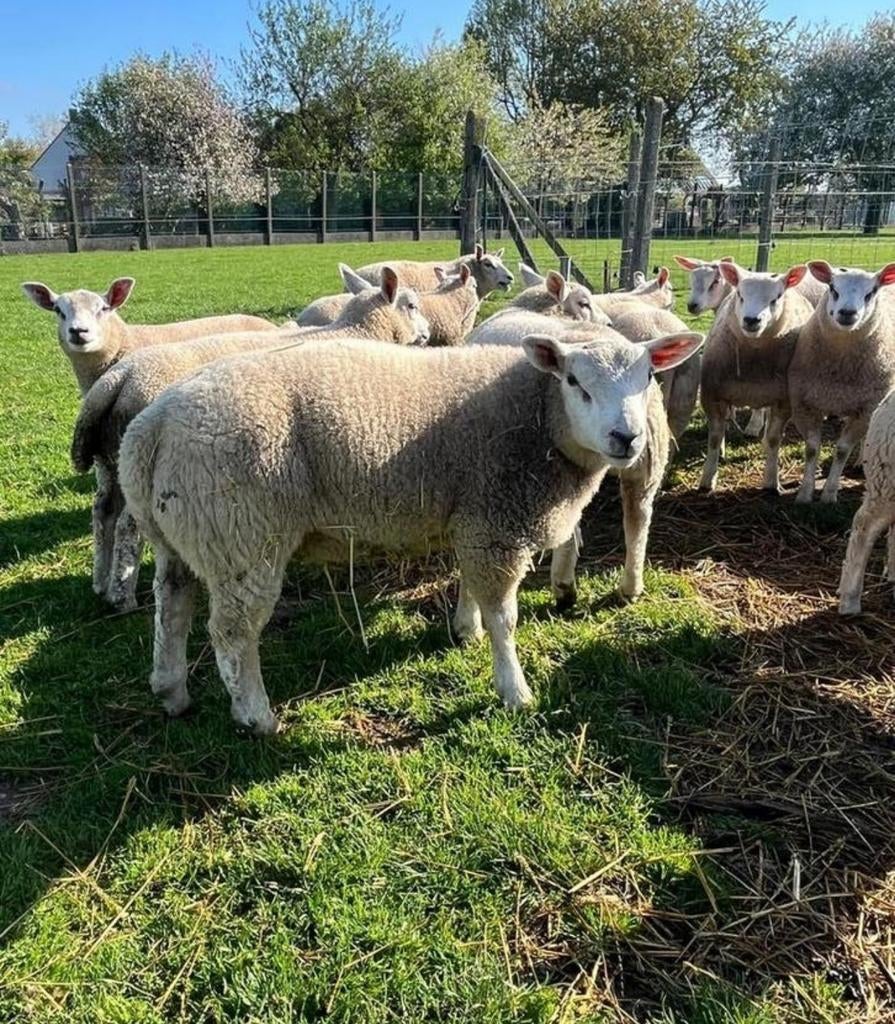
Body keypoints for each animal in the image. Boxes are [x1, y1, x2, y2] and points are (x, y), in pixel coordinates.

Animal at [72, 267, 428, 611]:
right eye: (411, 305)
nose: (427, 334)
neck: (357, 331)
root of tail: (119, 377)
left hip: (111, 459)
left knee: (103, 511)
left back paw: (101, 584)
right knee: (127, 526)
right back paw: (123, 597)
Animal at [118, 329, 703, 733]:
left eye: (647, 380)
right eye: (575, 382)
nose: (627, 438)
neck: (539, 417)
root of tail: (150, 428)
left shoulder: (474, 515)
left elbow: (470, 585)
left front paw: (465, 628)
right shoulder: (496, 521)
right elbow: (505, 618)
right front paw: (514, 690)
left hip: (187, 535)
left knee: (171, 607)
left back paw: (171, 691)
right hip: (244, 536)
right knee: (232, 632)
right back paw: (257, 716)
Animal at [698, 261, 814, 493]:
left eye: (776, 297)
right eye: (740, 294)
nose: (752, 320)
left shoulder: (784, 401)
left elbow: (774, 439)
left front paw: (771, 481)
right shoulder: (712, 395)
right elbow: (714, 438)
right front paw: (708, 479)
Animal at [789, 261, 895, 504]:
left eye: (871, 292)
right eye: (833, 288)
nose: (847, 313)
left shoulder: (866, 409)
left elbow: (842, 450)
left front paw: (829, 493)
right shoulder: (804, 404)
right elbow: (811, 449)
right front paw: (805, 493)